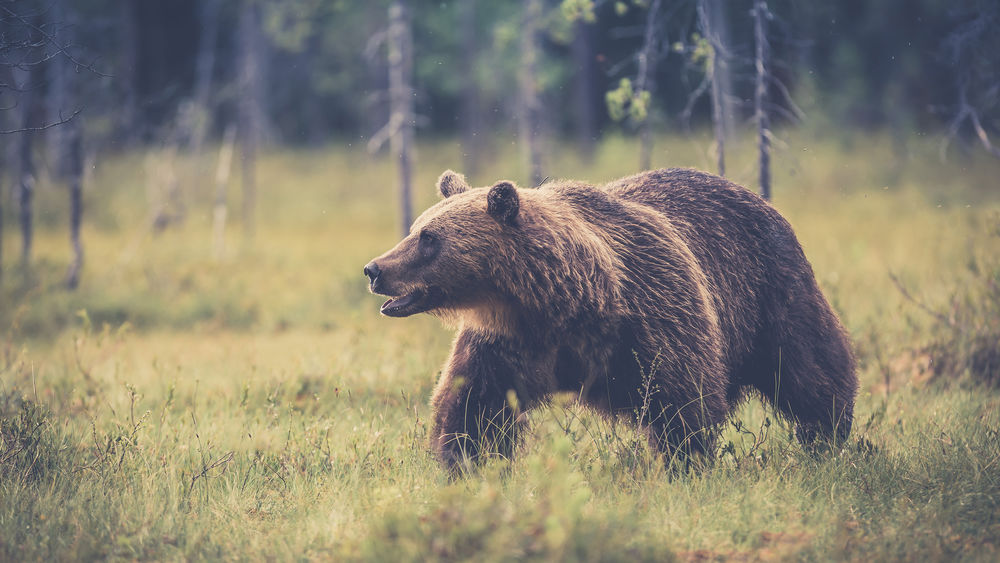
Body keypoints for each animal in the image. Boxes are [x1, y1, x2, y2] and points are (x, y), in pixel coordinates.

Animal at [364, 169, 856, 472]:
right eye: (416, 228)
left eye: (429, 239)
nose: (374, 269)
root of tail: (759, 198)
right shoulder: (507, 342)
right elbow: (472, 406)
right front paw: (465, 463)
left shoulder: (654, 313)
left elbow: (683, 401)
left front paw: (685, 465)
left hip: (772, 291)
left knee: (810, 369)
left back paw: (828, 437)